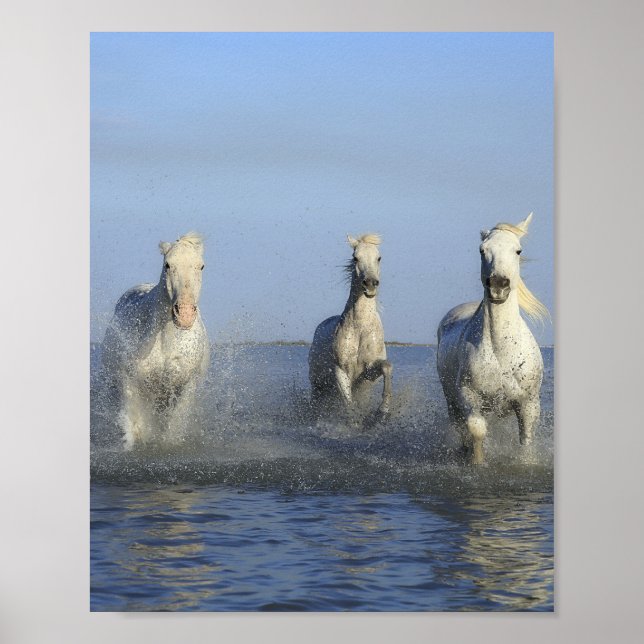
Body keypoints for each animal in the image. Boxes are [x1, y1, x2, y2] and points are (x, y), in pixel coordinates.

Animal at [100, 232, 210, 449]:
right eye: (167, 264)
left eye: (201, 266)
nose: (184, 314)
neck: (166, 339)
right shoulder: (131, 381)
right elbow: (136, 426)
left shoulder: (186, 385)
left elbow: (173, 426)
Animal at [308, 233, 392, 423]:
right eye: (355, 257)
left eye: (379, 257)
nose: (370, 284)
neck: (360, 328)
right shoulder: (341, 371)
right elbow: (348, 404)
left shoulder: (367, 373)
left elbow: (387, 366)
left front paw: (382, 412)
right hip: (317, 385)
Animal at [436, 213, 548, 464]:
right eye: (482, 250)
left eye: (518, 250)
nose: (498, 285)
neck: (502, 351)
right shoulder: (468, 396)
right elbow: (476, 430)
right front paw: (477, 463)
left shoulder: (528, 404)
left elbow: (526, 441)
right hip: (451, 400)